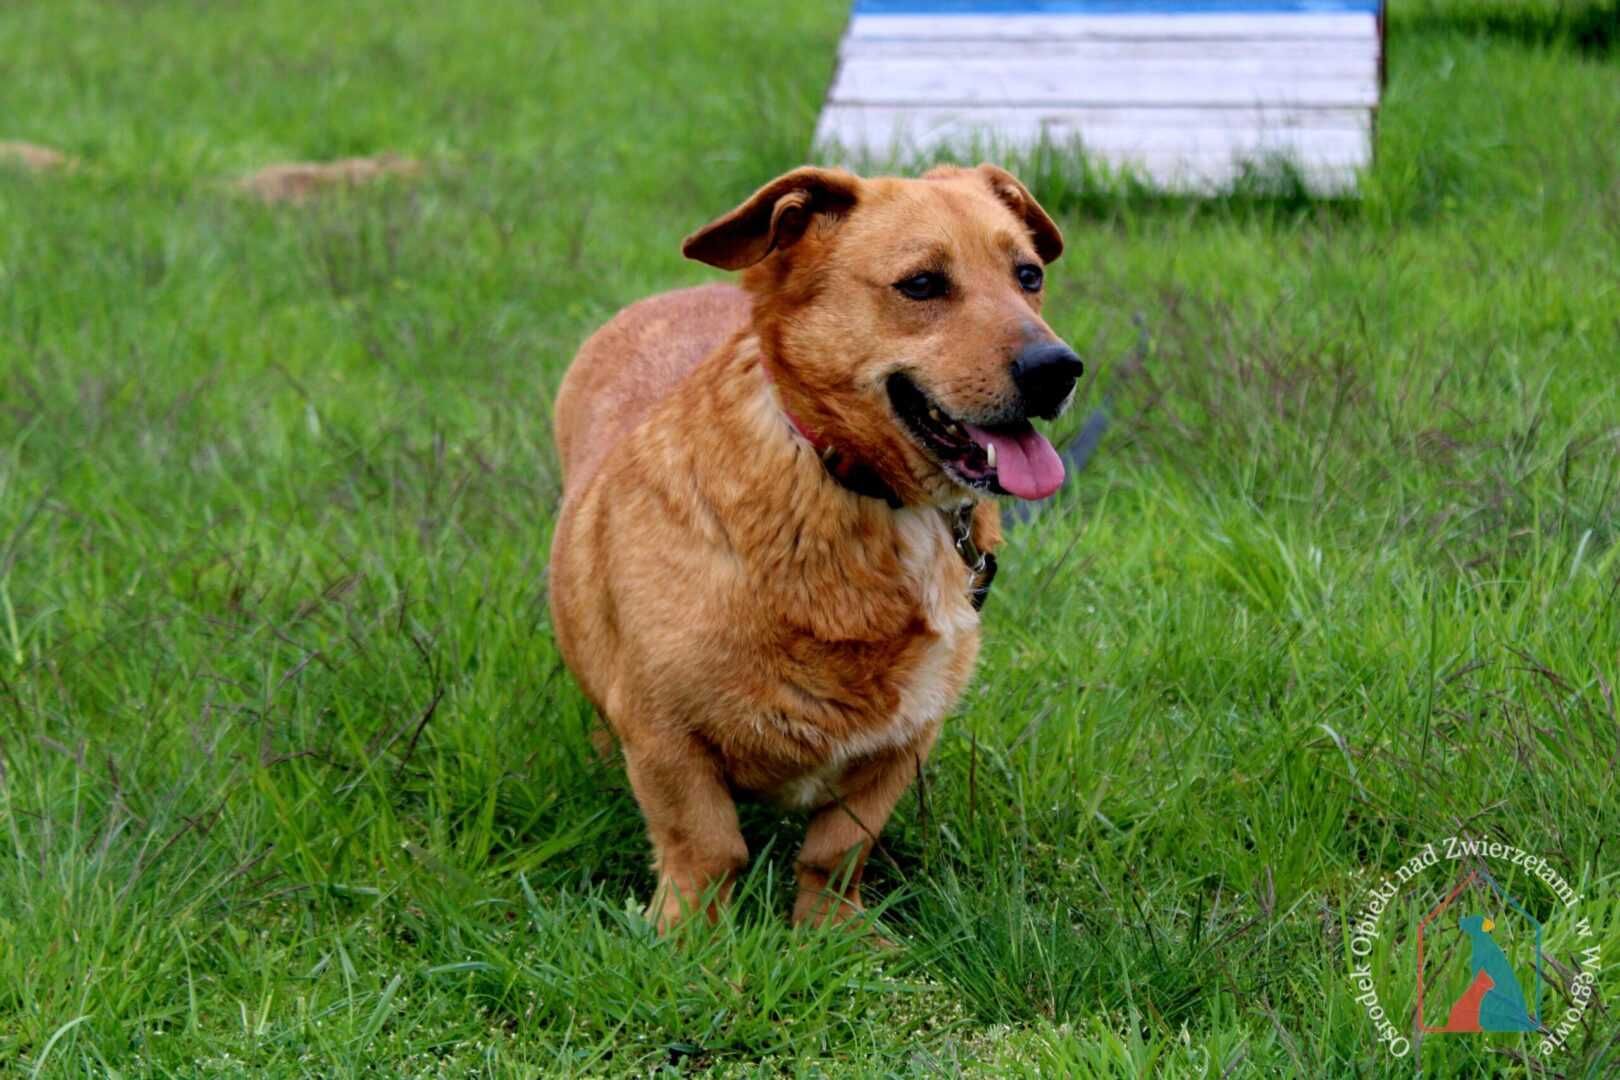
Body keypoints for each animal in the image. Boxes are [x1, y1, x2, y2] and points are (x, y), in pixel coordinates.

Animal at [550, 165, 1082, 932]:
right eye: (922, 284)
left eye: (1029, 275)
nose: (1058, 369)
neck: (855, 485)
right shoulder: (665, 740)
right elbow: (707, 852)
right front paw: (687, 942)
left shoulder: (902, 744)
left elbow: (834, 853)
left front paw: (834, 935)